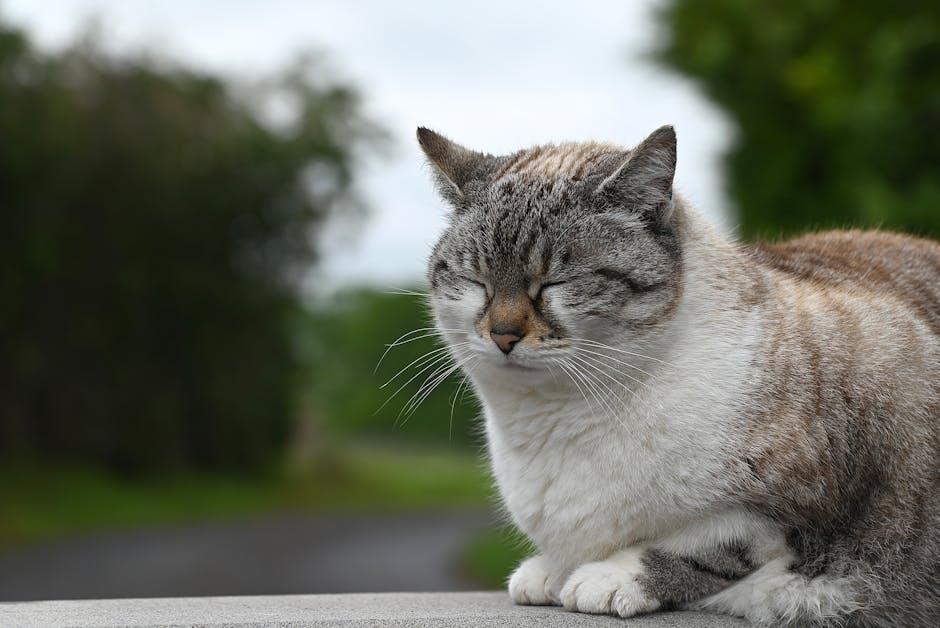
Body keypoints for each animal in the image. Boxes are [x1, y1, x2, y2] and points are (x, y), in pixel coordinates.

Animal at [418, 126, 940, 628]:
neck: (558, 415)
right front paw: (553, 567)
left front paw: (609, 577)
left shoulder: (796, 506)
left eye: (555, 283)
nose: (502, 335)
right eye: (476, 281)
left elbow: (702, 548)